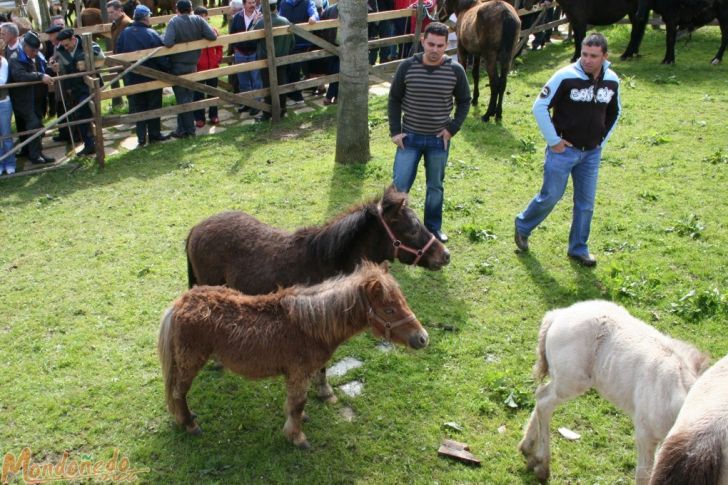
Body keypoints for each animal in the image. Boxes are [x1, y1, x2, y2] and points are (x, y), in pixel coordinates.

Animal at [156, 262, 424, 448]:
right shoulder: (299, 373)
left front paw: (300, 423)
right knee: (179, 392)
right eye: (389, 310)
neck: (310, 325)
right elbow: (297, 404)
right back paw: (189, 424)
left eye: (403, 301)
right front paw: (297, 437)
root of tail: (181, 303)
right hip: (190, 361)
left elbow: (296, 404)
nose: (422, 338)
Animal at [516, 300, 712, 482]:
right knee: (544, 402)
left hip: (563, 380)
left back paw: (527, 447)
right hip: (571, 382)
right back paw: (542, 465)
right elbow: (645, 473)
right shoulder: (646, 433)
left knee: (541, 394)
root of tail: (558, 314)